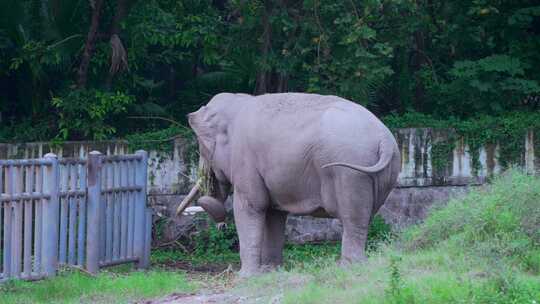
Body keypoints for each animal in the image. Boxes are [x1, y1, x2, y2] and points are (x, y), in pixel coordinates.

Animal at [177, 92, 400, 278]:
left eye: (201, 147)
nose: (221, 226)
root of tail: (385, 139)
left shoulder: (245, 161)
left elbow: (251, 206)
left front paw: (246, 277)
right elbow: (273, 214)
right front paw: (270, 271)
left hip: (351, 172)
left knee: (353, 218)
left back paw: (348, 268)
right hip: (381, 175)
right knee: (365, 217)